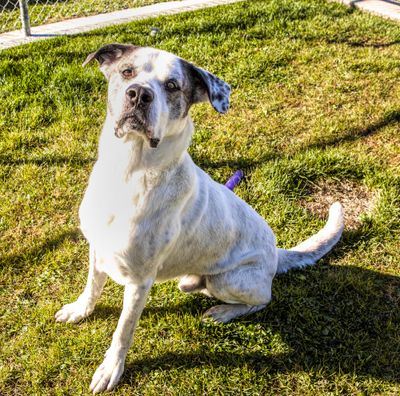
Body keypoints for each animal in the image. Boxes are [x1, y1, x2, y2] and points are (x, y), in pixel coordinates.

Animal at [54, 44, 346, 392]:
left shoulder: (140, 281)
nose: (138, 94)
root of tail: (276, 253)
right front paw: (80, 310)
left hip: (228, 280)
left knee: (264, 299)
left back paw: (222, 312)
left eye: (172, 85)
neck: (128, 173)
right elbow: (92, 286)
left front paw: (111, 369)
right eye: (127, 72)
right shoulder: (97, 247)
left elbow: (123, 330)